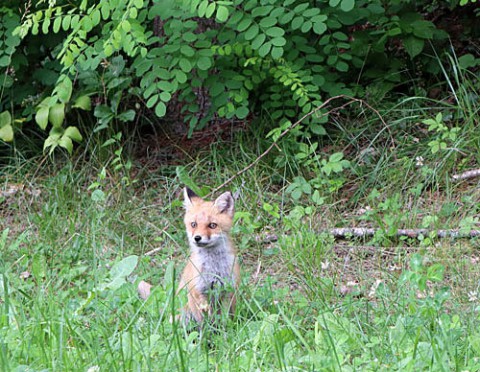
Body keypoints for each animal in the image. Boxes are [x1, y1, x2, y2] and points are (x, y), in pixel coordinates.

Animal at [177, 187, 240, 324]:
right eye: (193, 224)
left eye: (212, 225)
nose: (197, 238)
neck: (214, 267)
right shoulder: (198, 292)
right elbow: (204, 321)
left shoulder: (228, 290)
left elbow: (225, 319)